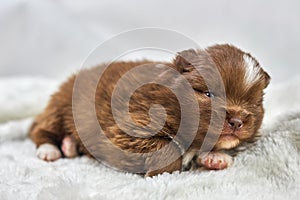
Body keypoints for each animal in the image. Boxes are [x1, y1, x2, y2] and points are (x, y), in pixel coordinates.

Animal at [29, 44, 270, 177]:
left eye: (254, 103)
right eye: (209, 94)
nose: (237, 121)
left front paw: (216, 157)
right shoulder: (127, 128)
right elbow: (169, 149)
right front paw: (164, 170)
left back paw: (69, 145)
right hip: (60, 106)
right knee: (40, 130)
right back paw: (51, 150)